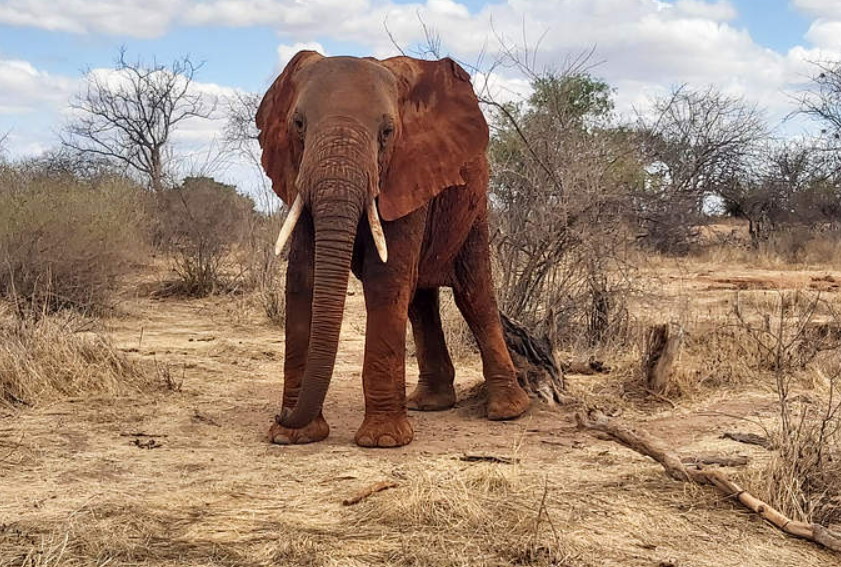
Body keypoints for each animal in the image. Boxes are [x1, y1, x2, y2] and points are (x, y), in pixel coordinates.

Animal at [257, 51, 531, 448]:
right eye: (298, 124)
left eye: (387, 133)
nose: (283, 414)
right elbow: (302, 279)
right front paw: (290, 436)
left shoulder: (410, 171)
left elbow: (385, 280)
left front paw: (382, 441)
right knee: (420, 299)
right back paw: (429, 404)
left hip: (475, 207)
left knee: (474, 295)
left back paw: (507, 411)